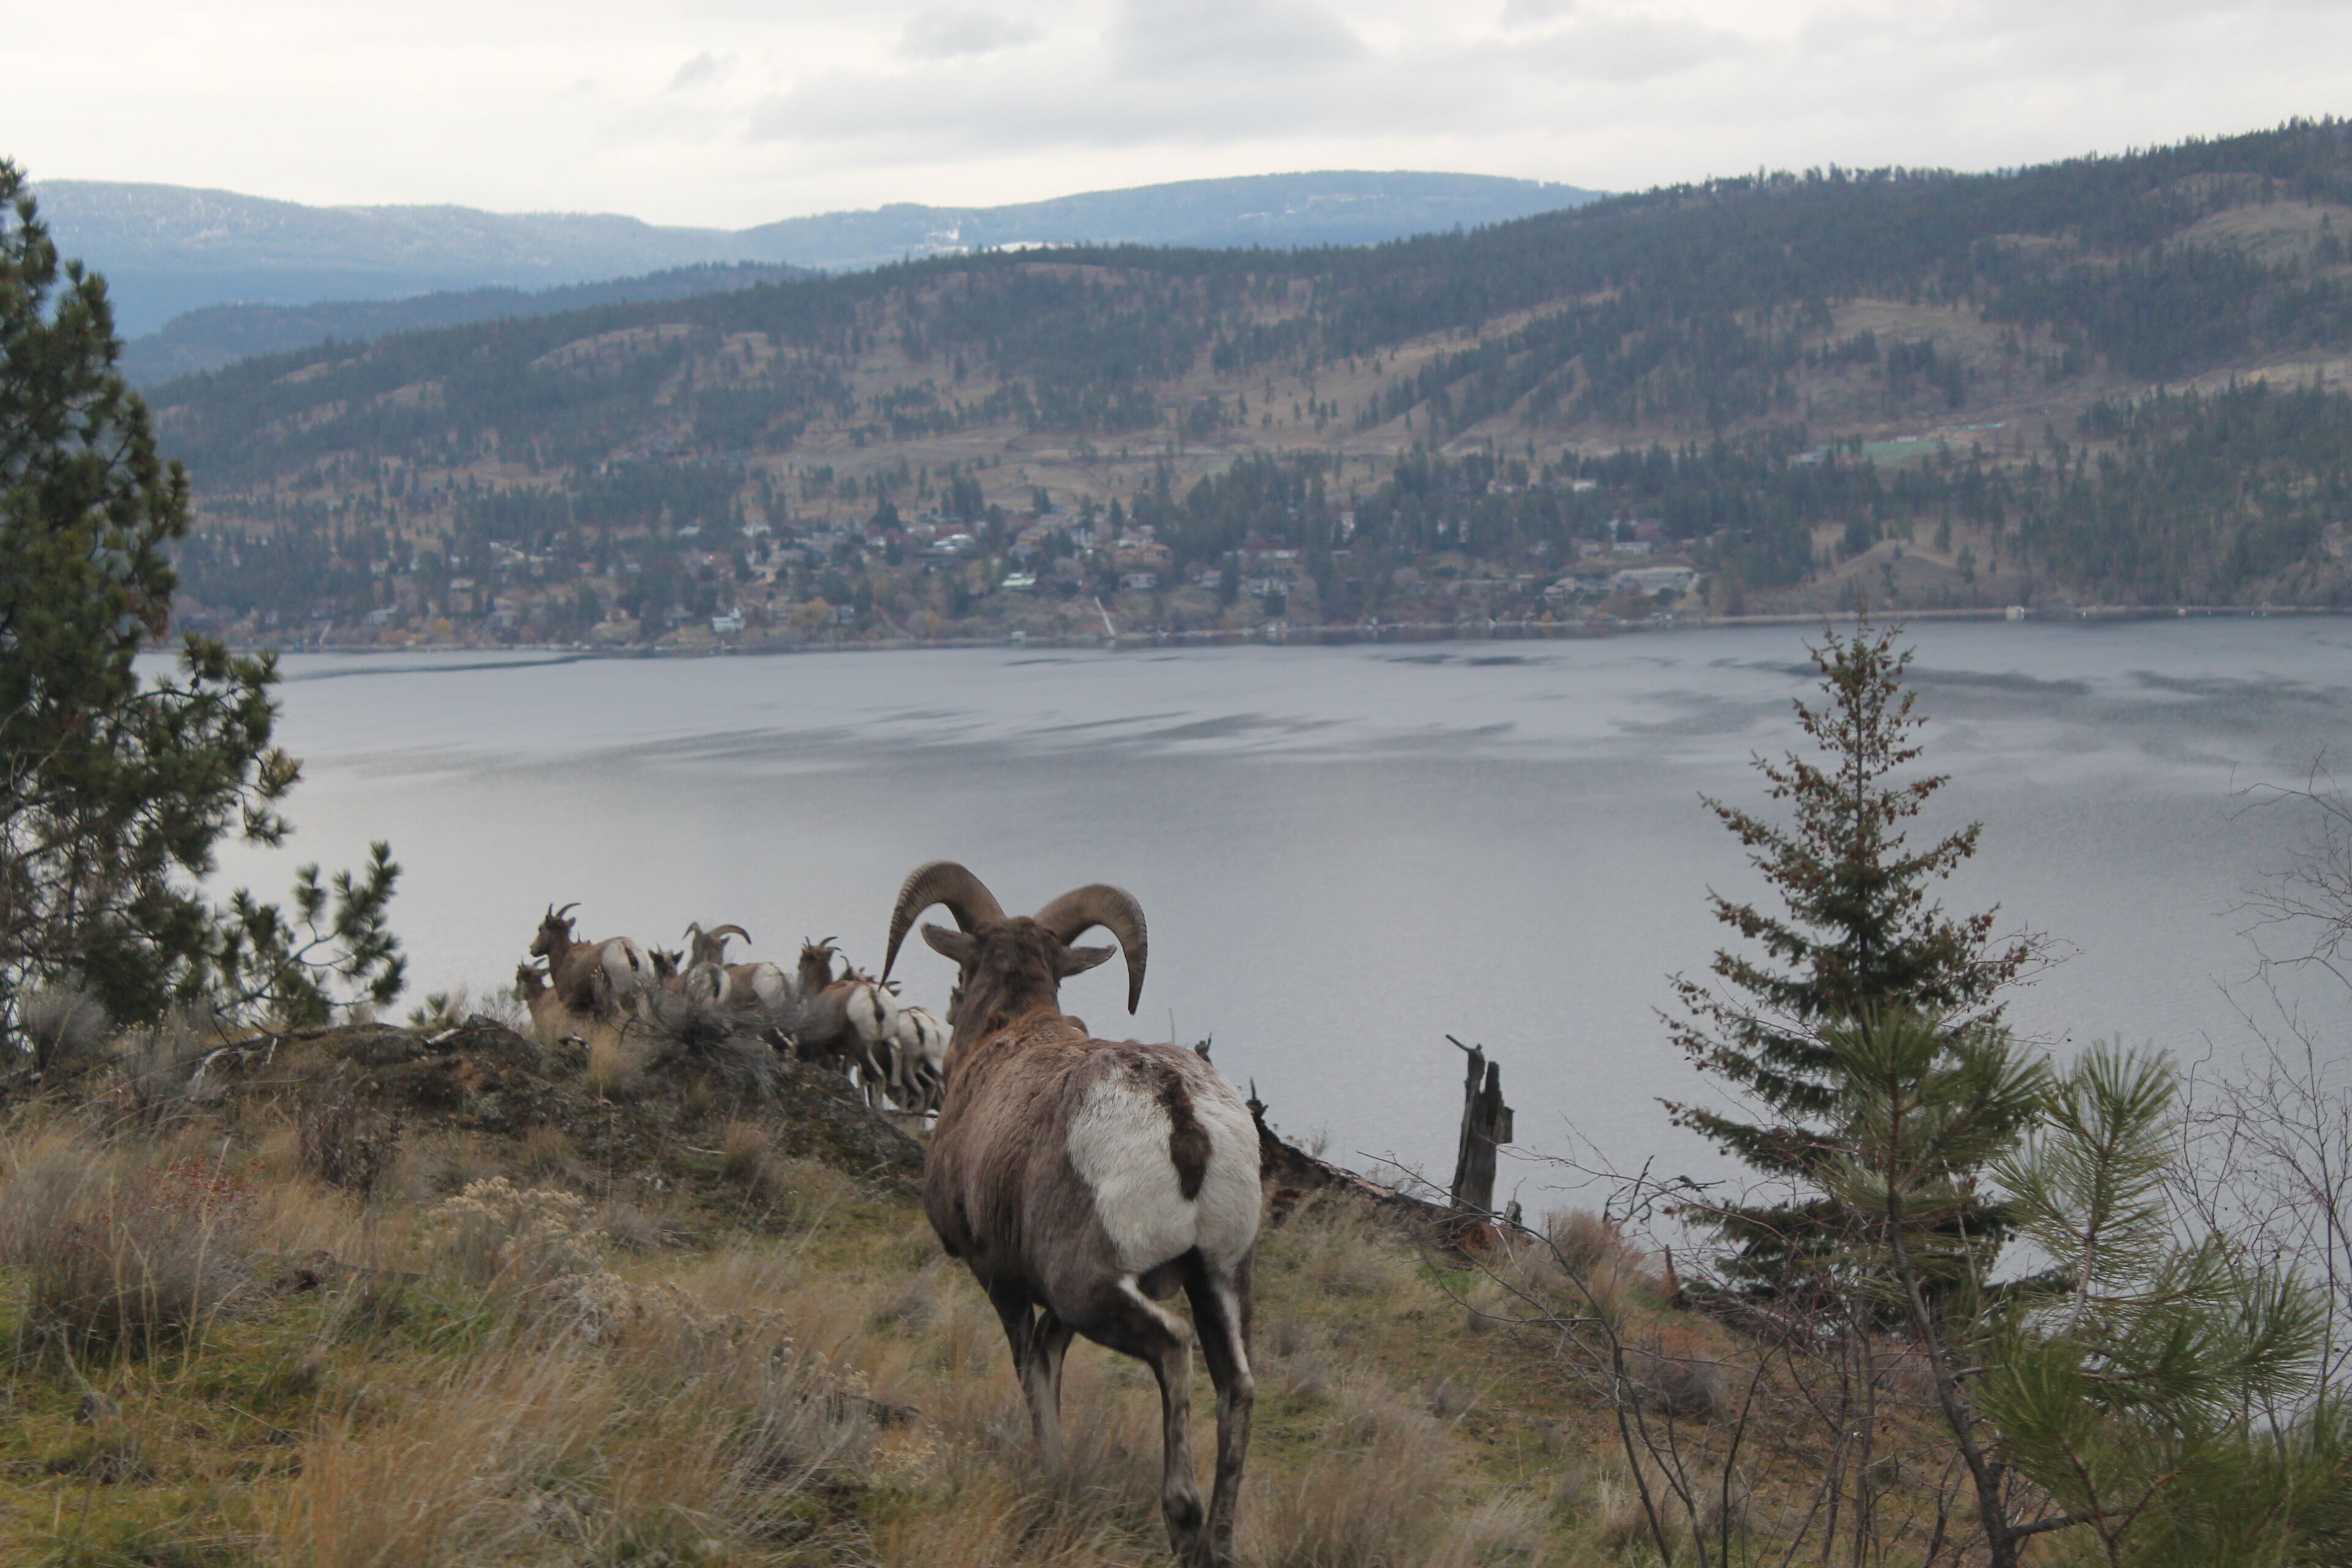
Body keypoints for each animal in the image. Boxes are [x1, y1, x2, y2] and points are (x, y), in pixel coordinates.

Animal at [530, 903, 654, 1018]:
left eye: (540, 928)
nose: (532, 949)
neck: (564, 959)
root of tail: (625, 947)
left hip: (618, 999)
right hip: (640, 996)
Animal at [882, 861, 1259, 1568]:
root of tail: (1177, 1110)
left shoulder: (1001, 1277)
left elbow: (1032, 1371)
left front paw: (1050, 1471)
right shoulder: (1055, 1306)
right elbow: (1049, 1361)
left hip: (1091, 1285)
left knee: (1173, 1346)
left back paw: (1182, 1518)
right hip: (1218, 1277)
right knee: (1238, 1386)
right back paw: (1218, 1541)